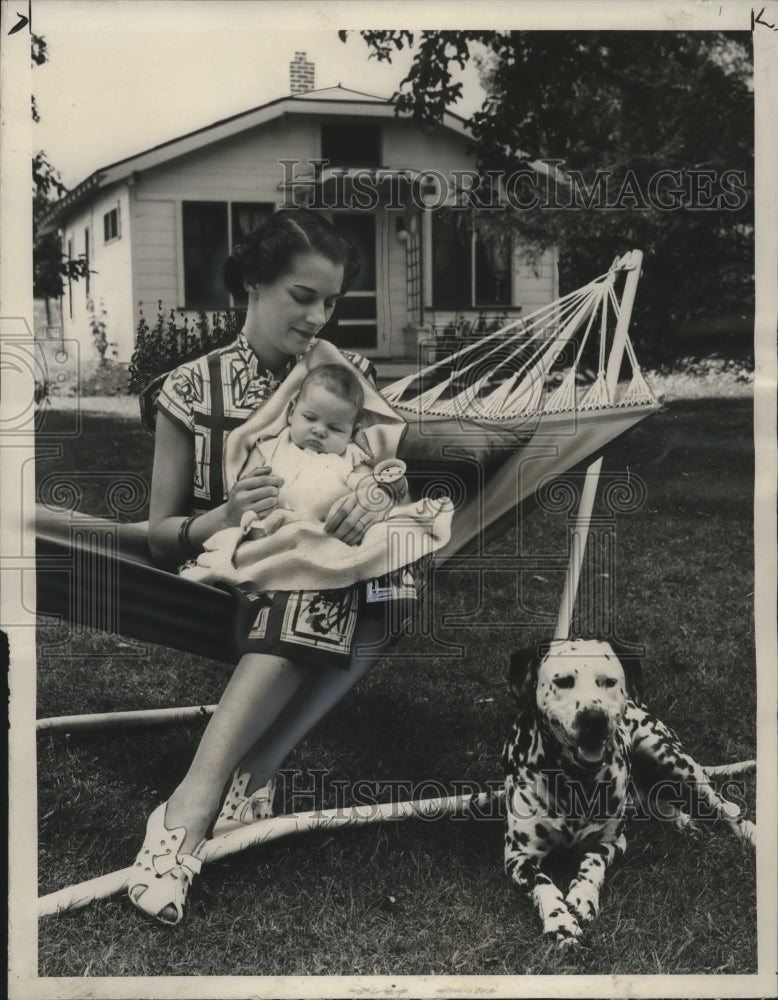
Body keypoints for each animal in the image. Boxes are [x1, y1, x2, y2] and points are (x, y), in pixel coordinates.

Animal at [500, 640, 756, 944]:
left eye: (608, 682)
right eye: (563, 682)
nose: (594, 719)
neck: (575, 780)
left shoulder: (614, 842)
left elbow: (592, 860)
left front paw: (583, 896)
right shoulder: (518, 856)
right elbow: (544, 883)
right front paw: (559, 920)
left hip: (669, 756)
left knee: (725, 806)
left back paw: (749, 833)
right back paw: (683, 821)